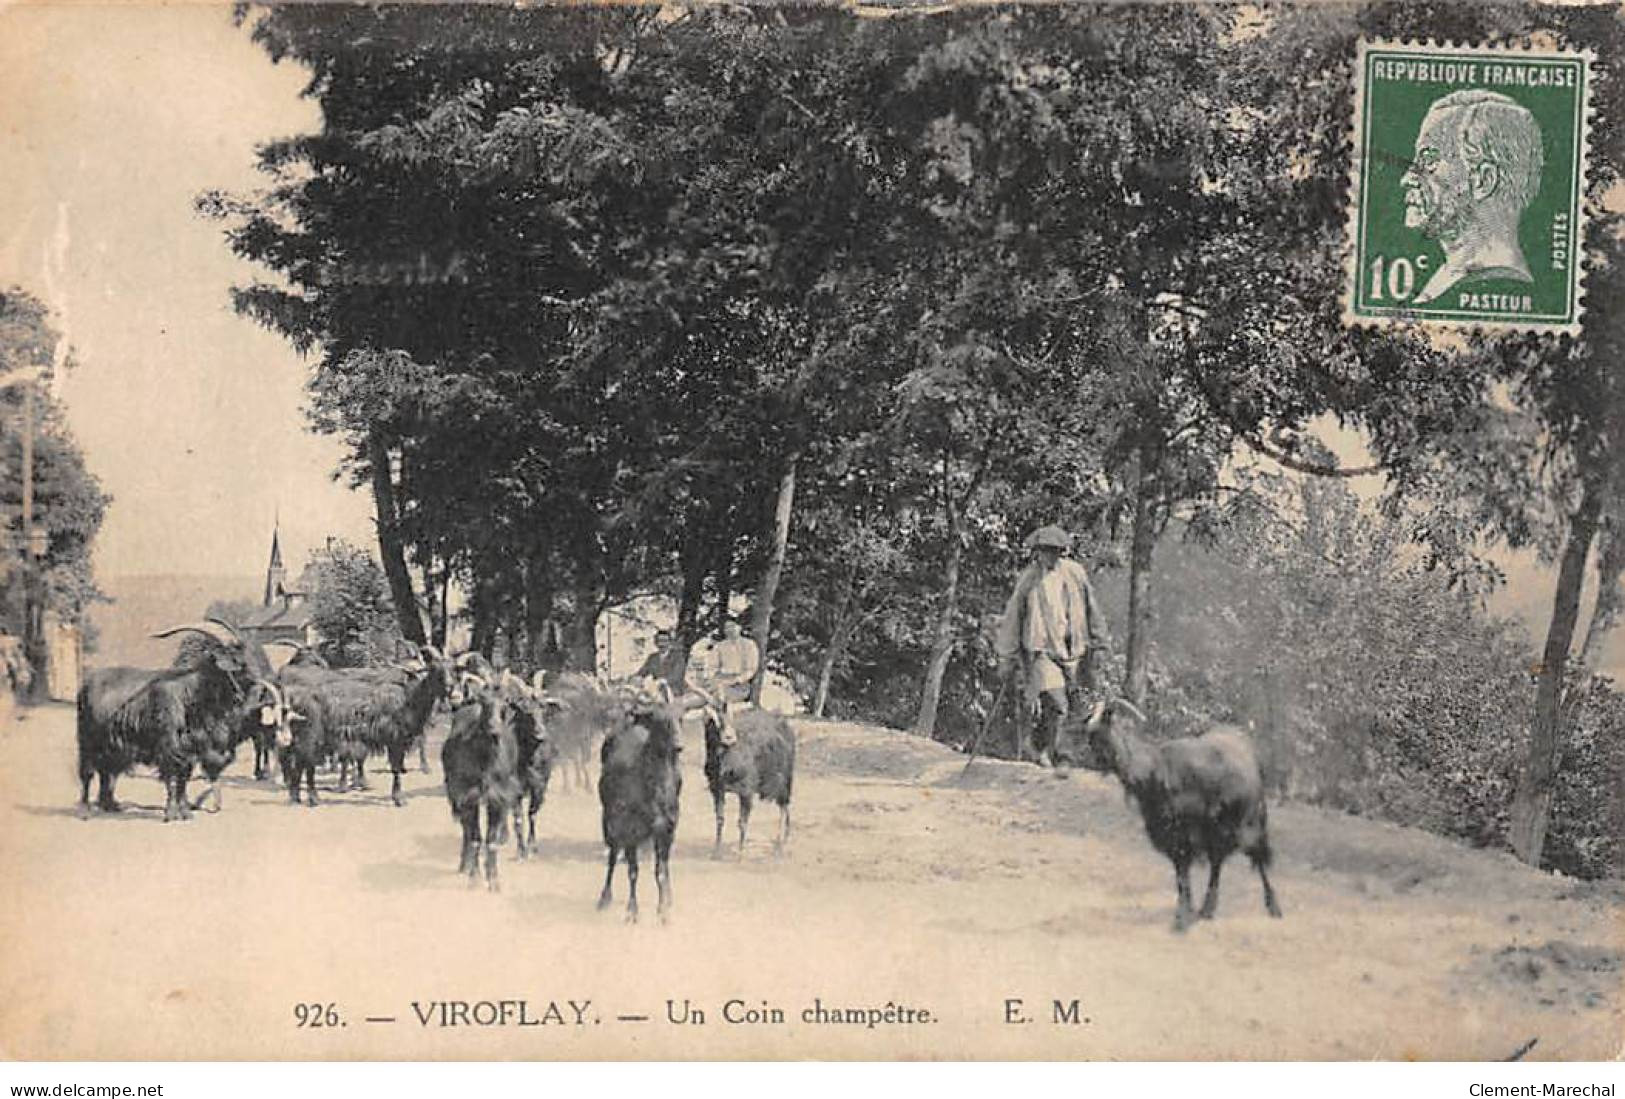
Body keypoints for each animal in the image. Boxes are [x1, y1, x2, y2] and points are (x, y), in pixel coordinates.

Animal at [598, 682, 679, 923]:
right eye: (659, 719)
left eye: (680, 715)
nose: (678, 745)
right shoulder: (629, 829)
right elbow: (632, 871)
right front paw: (632, 911)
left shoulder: (667, 828)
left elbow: (661, 871)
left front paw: (663, 911)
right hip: (608, 821)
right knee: (613, 856)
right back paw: (604, 898)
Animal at [1079, 699, 1280, 929]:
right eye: (1090, 732)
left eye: (1100, 732)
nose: (1088, 760)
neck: (1155, 771)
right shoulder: (1171, 837)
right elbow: (1181, 878)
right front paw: (1185, 912)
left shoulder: (1185, 835)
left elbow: (1183, 877)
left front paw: (1182, 918)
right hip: (1220, 831)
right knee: (1218, 863)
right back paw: (1207, 909)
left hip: (1250, 822)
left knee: (1258, 859)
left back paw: (1273, 907)